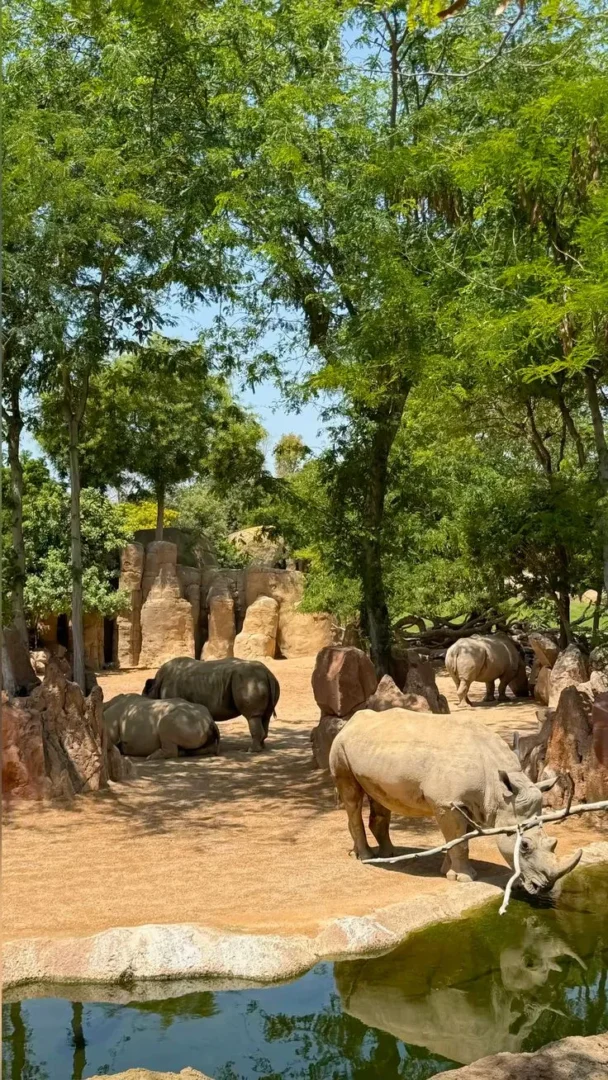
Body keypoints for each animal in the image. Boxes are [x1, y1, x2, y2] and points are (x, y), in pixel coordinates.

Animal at [142, 656, 280, 752]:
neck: (156, 684)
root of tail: (267, 672)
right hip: (261, 680)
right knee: (265, 716)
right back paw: (262, 747)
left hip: (248, 680)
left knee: (252, 716)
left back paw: (251, 750)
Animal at [329, 708, 581, 894]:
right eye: (525, 846)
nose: (544, 888)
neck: (500, 793)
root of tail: (351, 722)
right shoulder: (447, 804)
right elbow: (460, 842)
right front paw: (466, 878)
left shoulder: (470, 804)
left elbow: (459, 840)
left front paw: (448, 872)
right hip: (340, 748)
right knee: (351, 797)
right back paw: (366, 857)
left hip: (375, 751)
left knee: (380, 797)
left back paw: (388, 854)